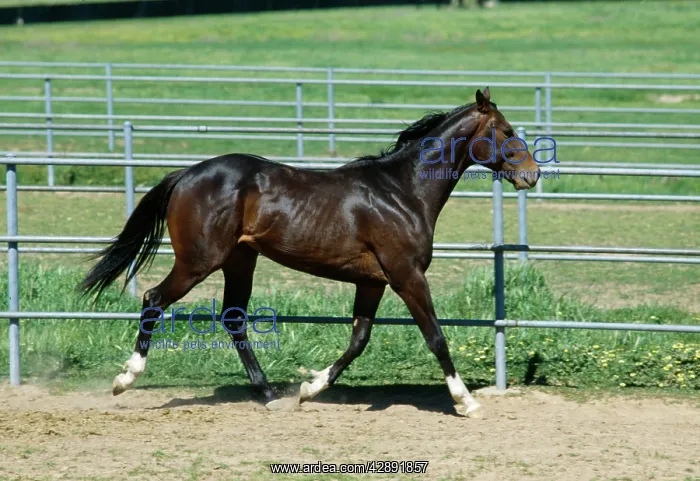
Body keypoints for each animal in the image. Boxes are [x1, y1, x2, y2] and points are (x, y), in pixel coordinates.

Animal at [79, 87, 540, 417]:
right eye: (506, 131)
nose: (531, 174)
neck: (401, 191)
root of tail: (186, 174)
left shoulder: (372, 282)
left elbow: (358, 340)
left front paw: (308, 388)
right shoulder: (407, 275)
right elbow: (436, 337)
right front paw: (467, 401)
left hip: (240, 260)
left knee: (233, 318)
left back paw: (269, 394)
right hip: (198, 261)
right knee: (154, 298)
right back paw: (125, 380)